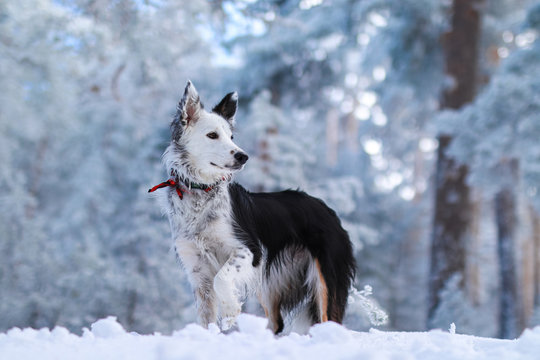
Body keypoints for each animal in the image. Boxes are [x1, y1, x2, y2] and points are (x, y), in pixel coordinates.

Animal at [150, 81, 356, 334]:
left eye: (231, 136)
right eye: (212, 135)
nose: (243, 156)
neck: (201, 190)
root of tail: (327, 209)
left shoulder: (250, 250)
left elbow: (221, 279)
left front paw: (230, 311)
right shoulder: (197, 268)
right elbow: (206, 315)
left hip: (325, 278)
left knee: (329, 319)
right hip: (270, 282)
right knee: (276, 322)